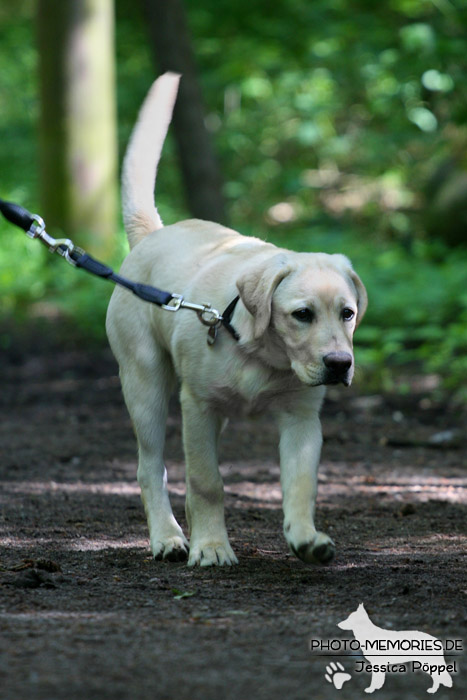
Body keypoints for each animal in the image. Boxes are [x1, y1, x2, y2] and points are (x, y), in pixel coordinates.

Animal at [107, 74, 370, 568]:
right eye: (301, 315)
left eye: (348, 313)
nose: (340, 365)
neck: (260, 352)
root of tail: (153, 234)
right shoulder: (198, 407)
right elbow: (206, 481)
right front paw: (211, 547)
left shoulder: (302, 419)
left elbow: (301, 485)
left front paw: (307, 538)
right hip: (144, 382)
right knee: (151, 466)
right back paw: (168, 537)